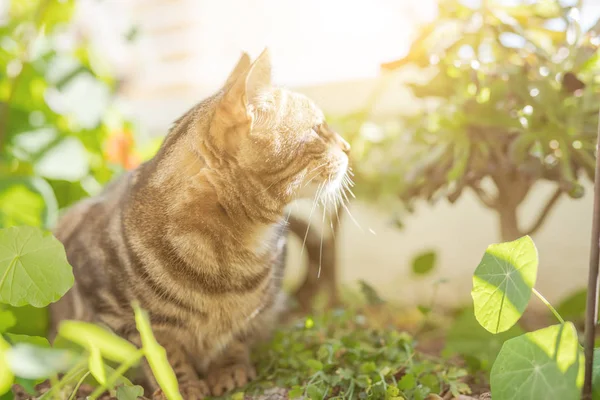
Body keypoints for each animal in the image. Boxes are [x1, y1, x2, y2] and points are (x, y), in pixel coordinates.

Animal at [50, 48, 352, 398]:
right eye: (318, 129)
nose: (347, 147)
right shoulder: (126, 318)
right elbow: (163, 356)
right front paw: (181, 386)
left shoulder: (255, 313)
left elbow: (235, 339)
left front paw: (228, 371)